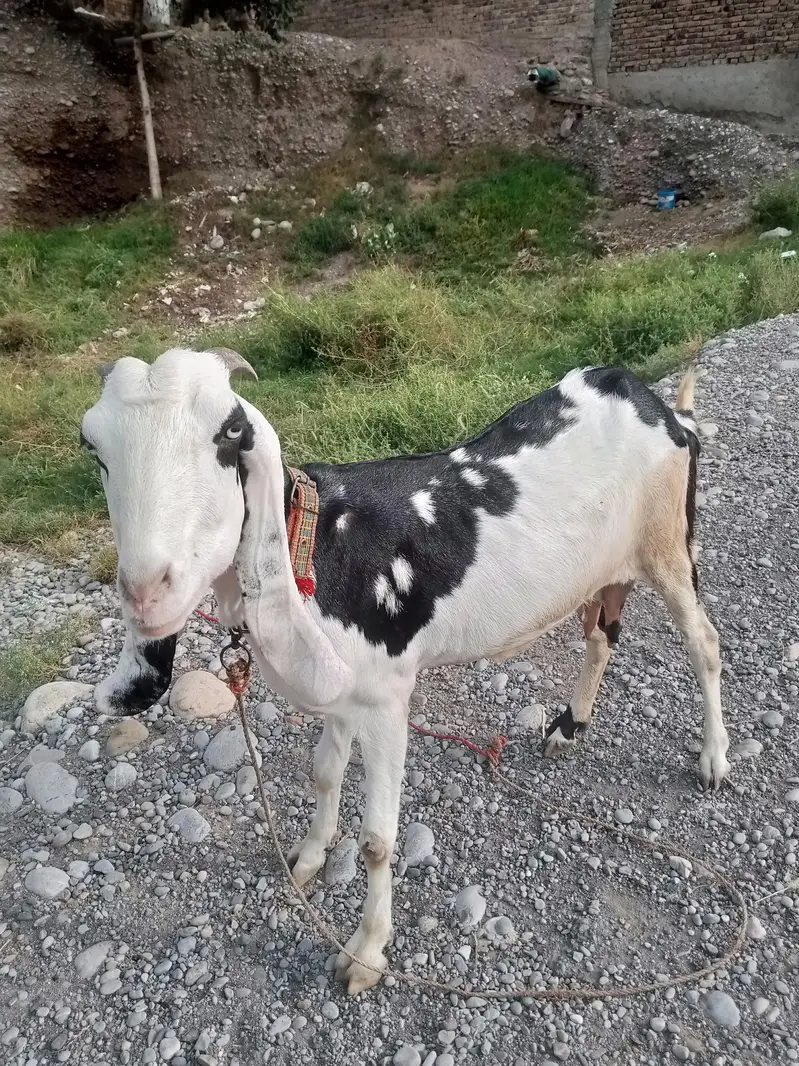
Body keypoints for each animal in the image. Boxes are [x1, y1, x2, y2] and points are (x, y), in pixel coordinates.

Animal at [82, 348, 729, 994]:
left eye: (230, 432)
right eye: (94, 448)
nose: (146, 591)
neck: (317, 547)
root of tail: (663, 410)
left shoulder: (387, 701)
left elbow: (376, 842)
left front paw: (366, 953)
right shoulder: (346, 689)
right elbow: (324, 773)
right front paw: (308, 858)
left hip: (669, 544)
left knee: (704, 643)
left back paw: (713, 758)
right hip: (607, 569)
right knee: (601, 635)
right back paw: (569, 726)